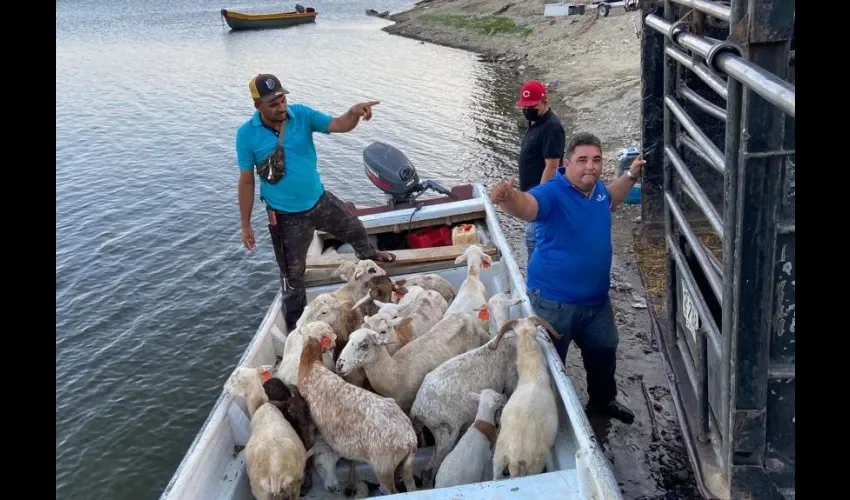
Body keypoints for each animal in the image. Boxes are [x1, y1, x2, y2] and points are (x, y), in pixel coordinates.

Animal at [334, 312, 486, 414]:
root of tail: (467, 316)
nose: (339, 365)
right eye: (349, 339)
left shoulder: (407, 404)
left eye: (364, 345)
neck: (394, 373)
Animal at [410, 292, 524, 484]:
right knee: (429, 471)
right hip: (446, 431)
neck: (503, 339)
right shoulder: (510, 381)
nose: (509, 292)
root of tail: (417, 409)